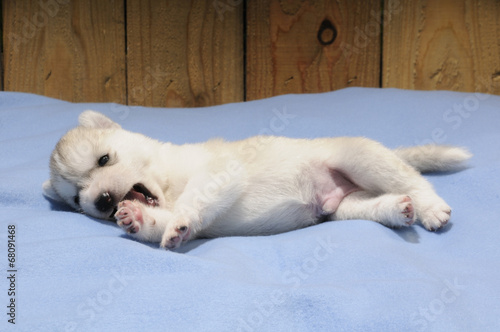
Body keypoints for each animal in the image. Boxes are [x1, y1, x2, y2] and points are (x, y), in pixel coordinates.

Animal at [44, 111, 472, 249]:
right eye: (77, 199)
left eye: (103, 159)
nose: (101, 202)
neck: (165, 182)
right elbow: (164, 223)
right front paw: (138, 220)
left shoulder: (219, 174)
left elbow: (193, 202)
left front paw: (177, 217)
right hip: (344, 208)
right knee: (377, 205)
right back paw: (398, 209)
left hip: (361, 158)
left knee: (414, 181)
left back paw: (430, 208)